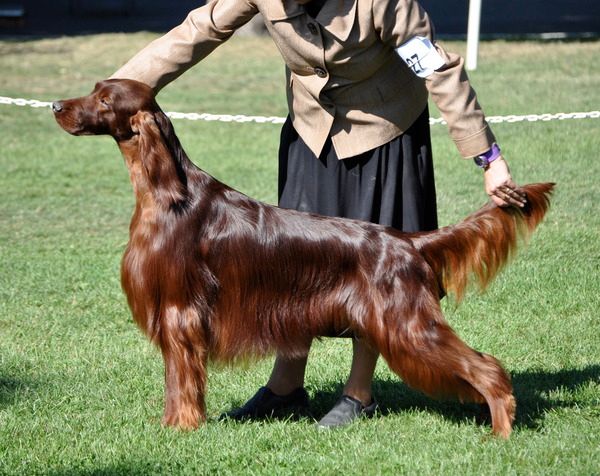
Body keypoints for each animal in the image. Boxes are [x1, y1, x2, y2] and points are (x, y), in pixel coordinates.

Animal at [54, 79, 556, 438]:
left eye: (103, 99)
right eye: (95, 89)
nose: (56, 105)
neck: (167, 193)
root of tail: (407, 240)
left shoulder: (181, 312)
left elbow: (181, 382)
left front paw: (180, 427)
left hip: (408, 323)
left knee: (487, 366)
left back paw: (501, 430)